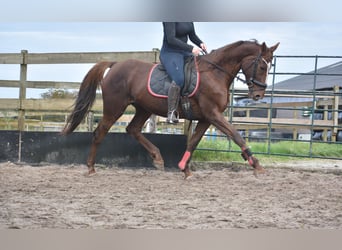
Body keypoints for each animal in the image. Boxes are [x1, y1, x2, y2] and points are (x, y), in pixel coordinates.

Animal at [62, 40, 280, 179]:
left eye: (269, 67)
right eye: (262, 66)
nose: (258, 95)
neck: (215, 73)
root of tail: (115, 64)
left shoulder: (206, 118)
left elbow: (193, 142)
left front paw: (185, 169)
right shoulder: (213, 114)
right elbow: (236, 135)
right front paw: (256, 165)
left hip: (143, 109)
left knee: (133, 129)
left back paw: (157, 158)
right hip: (115, 108)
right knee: (100, 133)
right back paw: (91, 168)